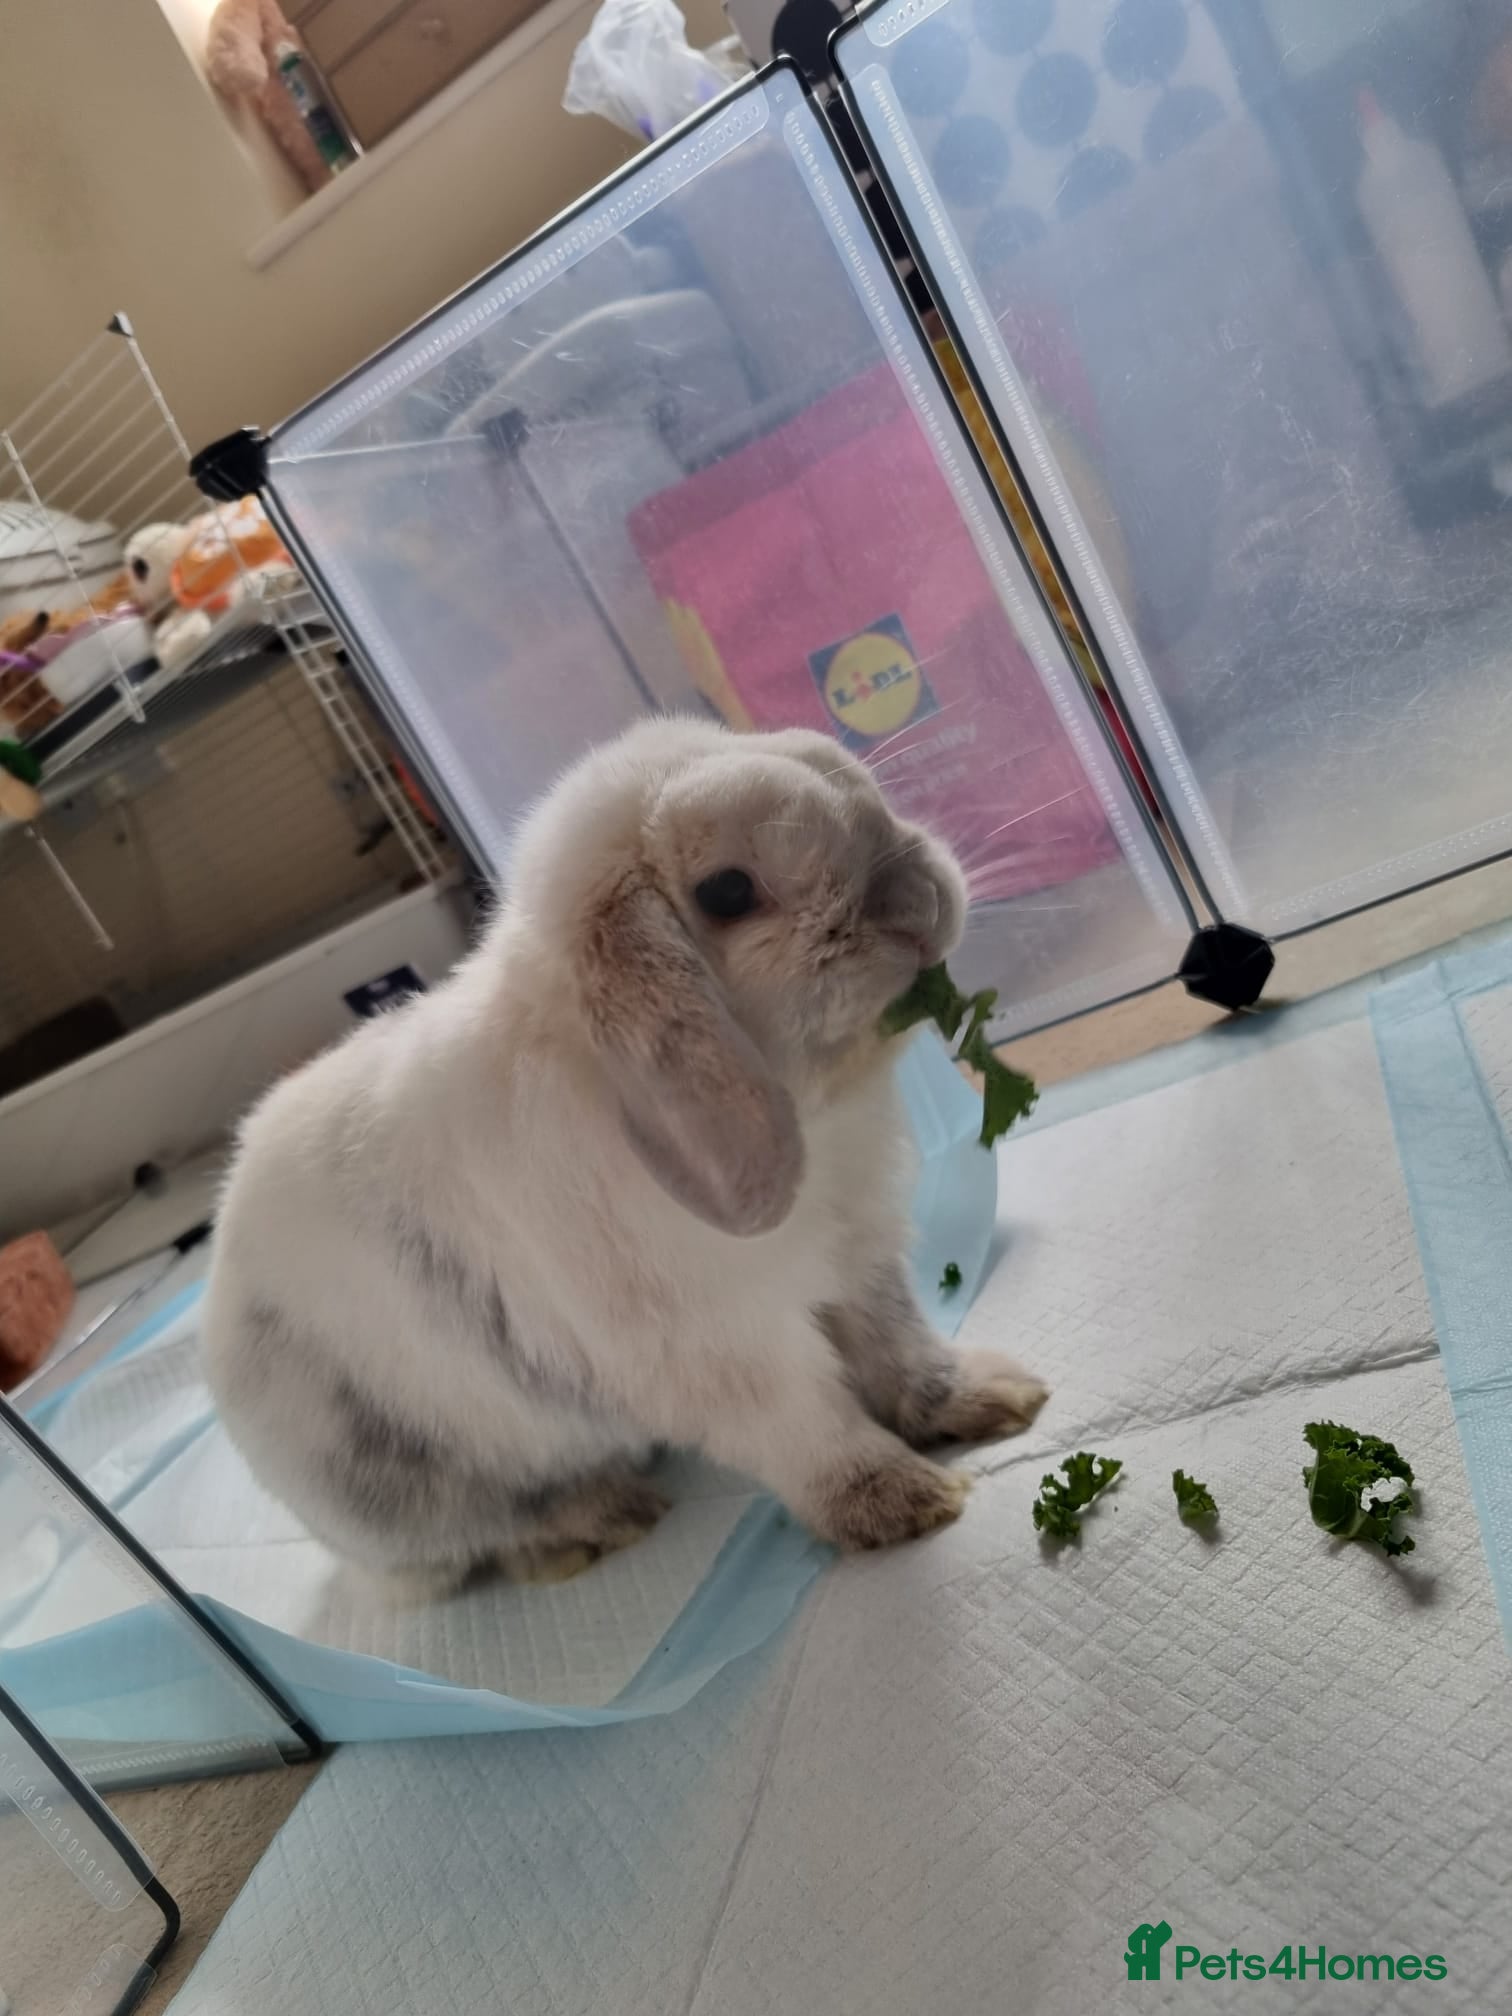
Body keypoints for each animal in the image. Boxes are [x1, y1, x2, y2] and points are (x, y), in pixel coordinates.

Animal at [201, 717, 1047, 1596]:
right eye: (727, 893)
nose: (919, 901)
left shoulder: (861, 1261)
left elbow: (903, 1348)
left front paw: (999, 1397)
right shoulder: (722, 1350)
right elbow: (809, 1430)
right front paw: (908, 1503)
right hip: (408, 1487)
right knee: (485, 1539)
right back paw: (605, 1520)